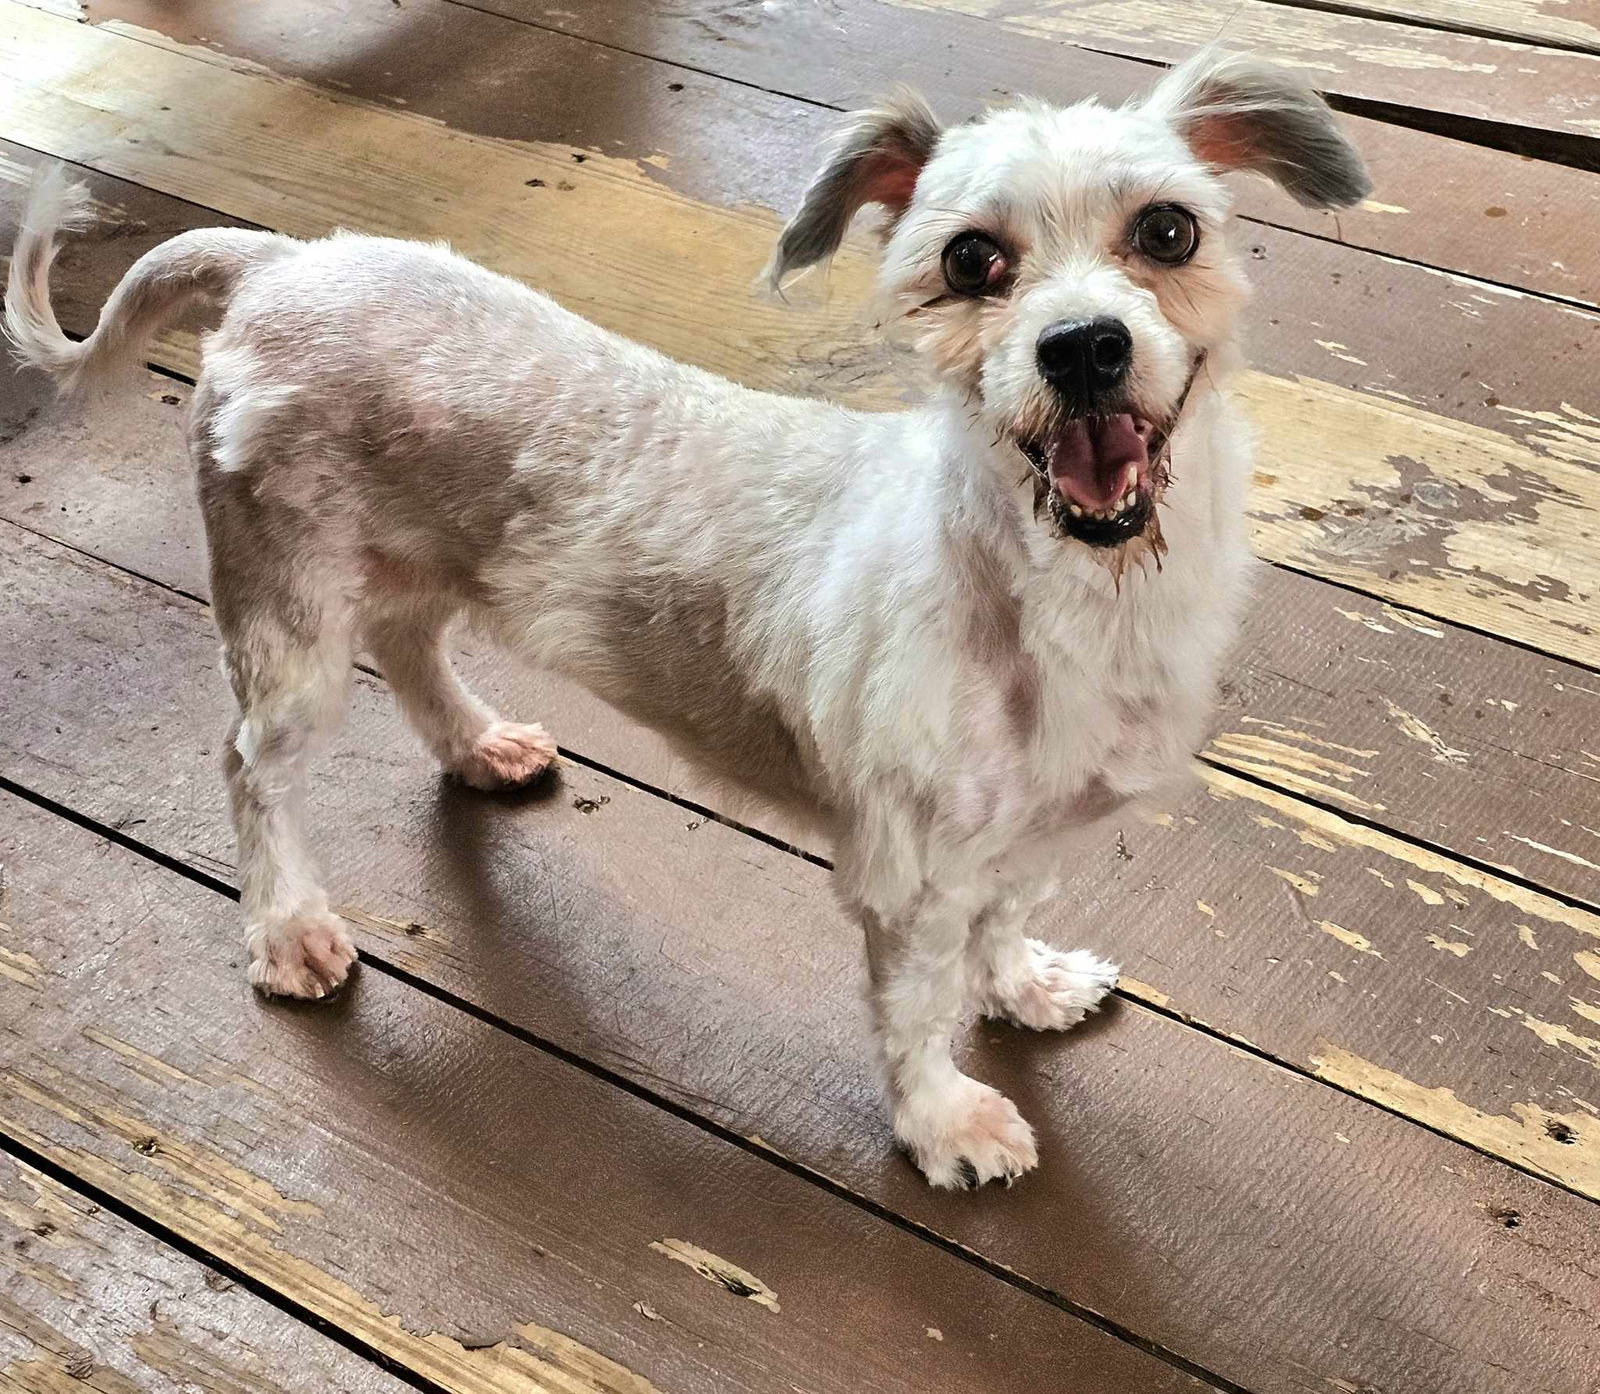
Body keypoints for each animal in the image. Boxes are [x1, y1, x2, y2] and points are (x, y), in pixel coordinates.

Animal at [9, 51, 1363, 1190]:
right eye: (972, 260)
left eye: (1168, 230)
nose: (1082, 346)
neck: (1061, 598)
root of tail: (276, 264)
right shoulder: (909, 874)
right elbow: (917, 1011)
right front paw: (947, 1123)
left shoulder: (1024, 832)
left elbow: (1005, 923)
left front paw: (1027, 986)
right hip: (286, 614)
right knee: (251, 764)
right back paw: (289, 929)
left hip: (426, 557)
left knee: (410, 649)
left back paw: (478, 745)